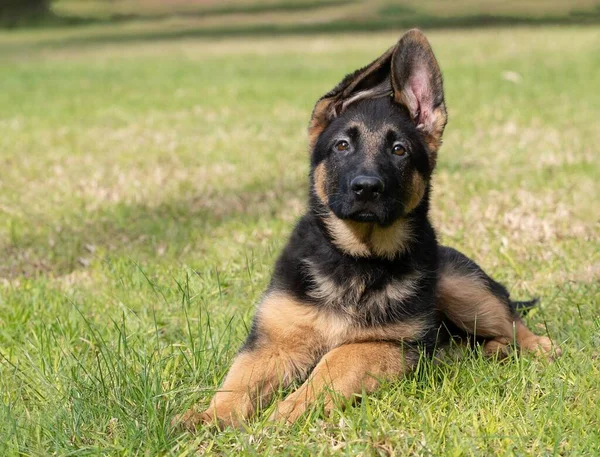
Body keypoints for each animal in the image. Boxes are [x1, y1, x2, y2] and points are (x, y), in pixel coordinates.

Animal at [173, 29, 556, 432]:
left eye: (399, 150)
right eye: (342, 145)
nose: (367, 188)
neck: (358, 258)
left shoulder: (389, 345)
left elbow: (338, 359)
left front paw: (289, 410)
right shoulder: (273, 342)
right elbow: (239, 381)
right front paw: (209, 417)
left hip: (463, 289)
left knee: (516, 325)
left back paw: (535, 349)